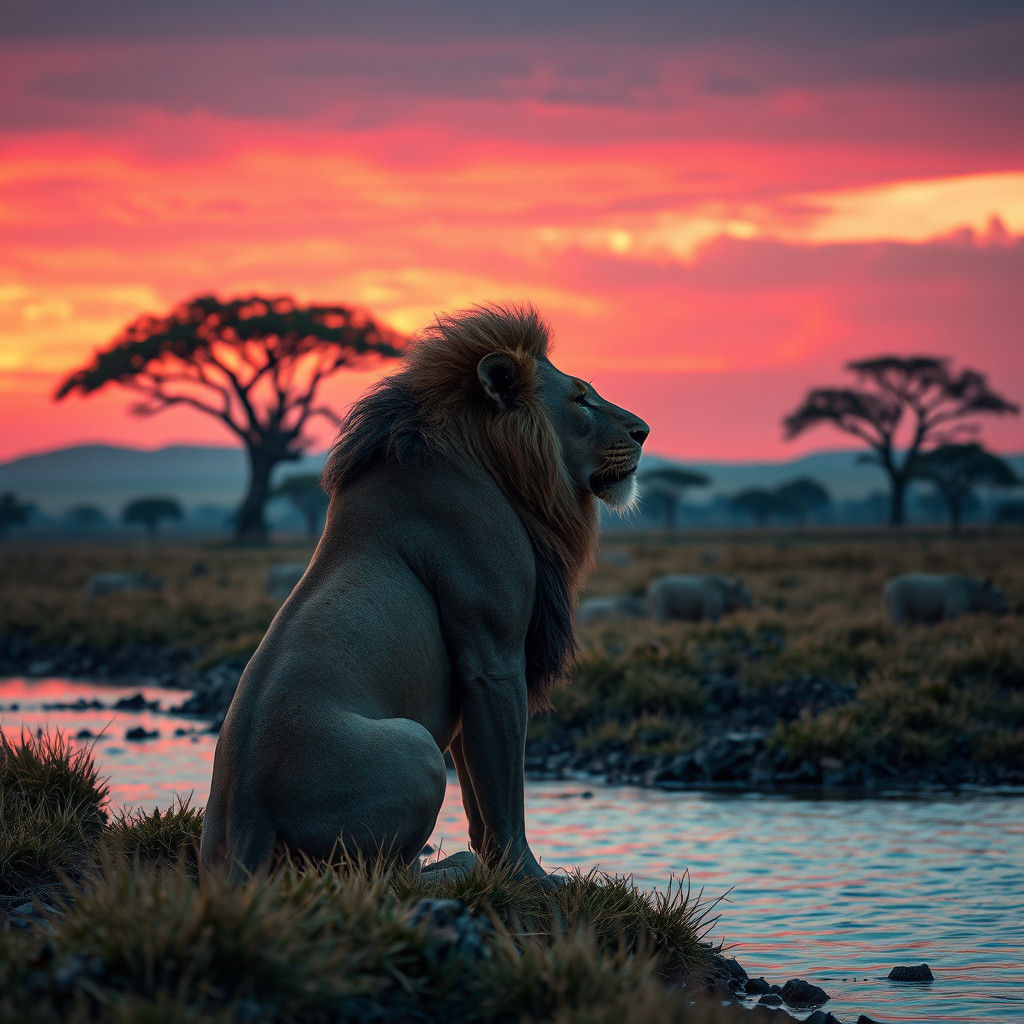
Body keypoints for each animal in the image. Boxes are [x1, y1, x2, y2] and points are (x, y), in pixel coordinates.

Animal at [200, 305, 649, 884]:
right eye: (580, 399)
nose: (644, 431)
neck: (496, 467)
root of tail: (247, 822)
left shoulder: (467, 675)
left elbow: (479, 789)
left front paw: (500, 869)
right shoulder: (494, 655)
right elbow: (506, 787)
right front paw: (528, 877)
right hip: (415, 748)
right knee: (378, 878)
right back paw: (453, 867)